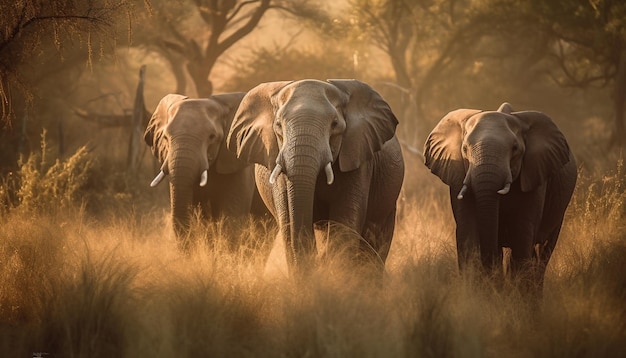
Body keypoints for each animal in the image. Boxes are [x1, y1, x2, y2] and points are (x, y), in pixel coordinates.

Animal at [422, 102, 572, 292]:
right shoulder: (458, 177)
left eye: (515, 149)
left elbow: (522, 233)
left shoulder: (535, 175)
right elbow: (468, 232)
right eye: (464, 149)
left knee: (542, 251)